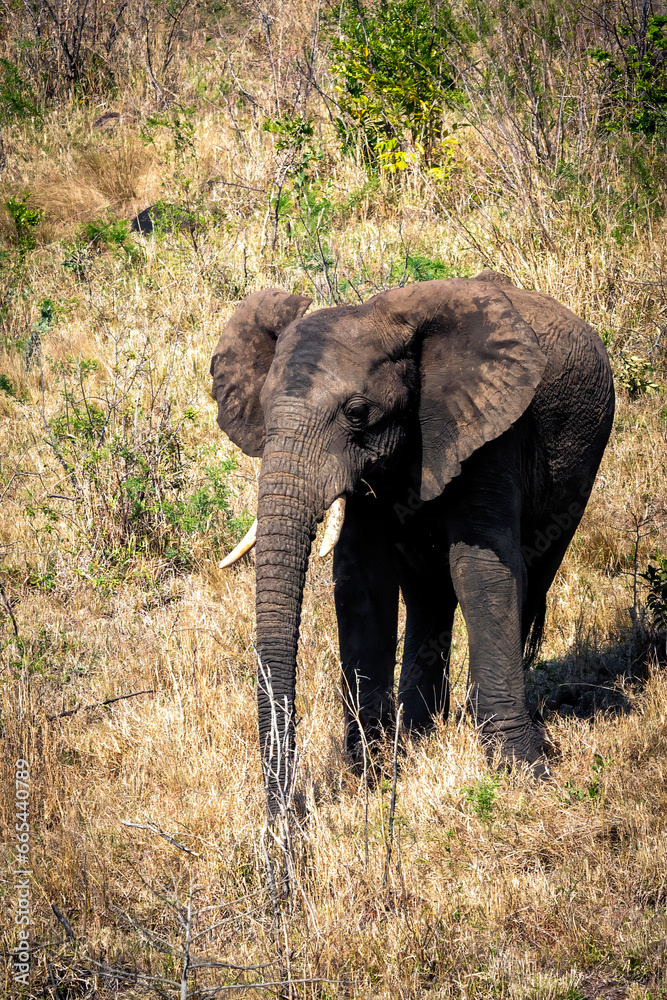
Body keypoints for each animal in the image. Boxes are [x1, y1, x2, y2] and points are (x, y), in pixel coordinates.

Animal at [210, 272, 616, 812]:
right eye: (264, 408)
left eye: (357, 414)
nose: (285, 819)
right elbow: (363, 582)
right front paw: (374, 772)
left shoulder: (489, 431)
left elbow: (482, 571)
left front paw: (521, 773)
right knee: (430, 593)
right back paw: (422, 734)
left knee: (526, 577)